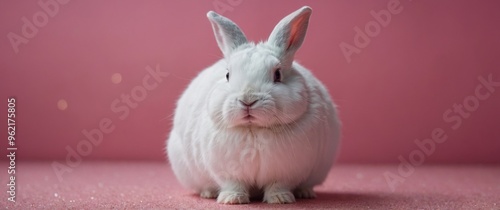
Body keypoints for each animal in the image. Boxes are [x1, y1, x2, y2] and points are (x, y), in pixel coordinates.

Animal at [167, 6, 340, 203]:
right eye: (227, 75)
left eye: (277, 74)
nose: (247, 100)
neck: (253, 129)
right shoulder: (227, 172)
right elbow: (234, 184)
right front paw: (232, 199)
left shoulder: (285, 172)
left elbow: (277, 185)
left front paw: (281, 199)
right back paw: (208, 193)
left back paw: (305, 193)